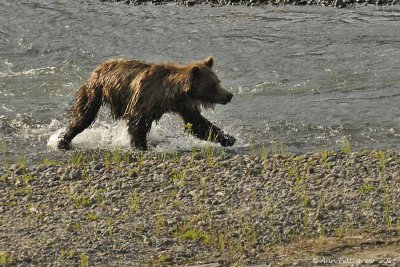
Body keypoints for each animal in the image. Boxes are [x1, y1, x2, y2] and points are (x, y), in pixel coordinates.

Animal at [57, 57, 236, 151]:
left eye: (218, 81)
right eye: (212, 84)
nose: (229, 95)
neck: (169, 95)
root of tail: (100, 66)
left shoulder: (184, 106)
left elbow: (198, 124)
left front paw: (229, 138)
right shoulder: (144, 101)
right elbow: (138, 124)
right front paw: (141, 146)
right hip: (95, 90)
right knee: (83, 115)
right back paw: (63, 140)